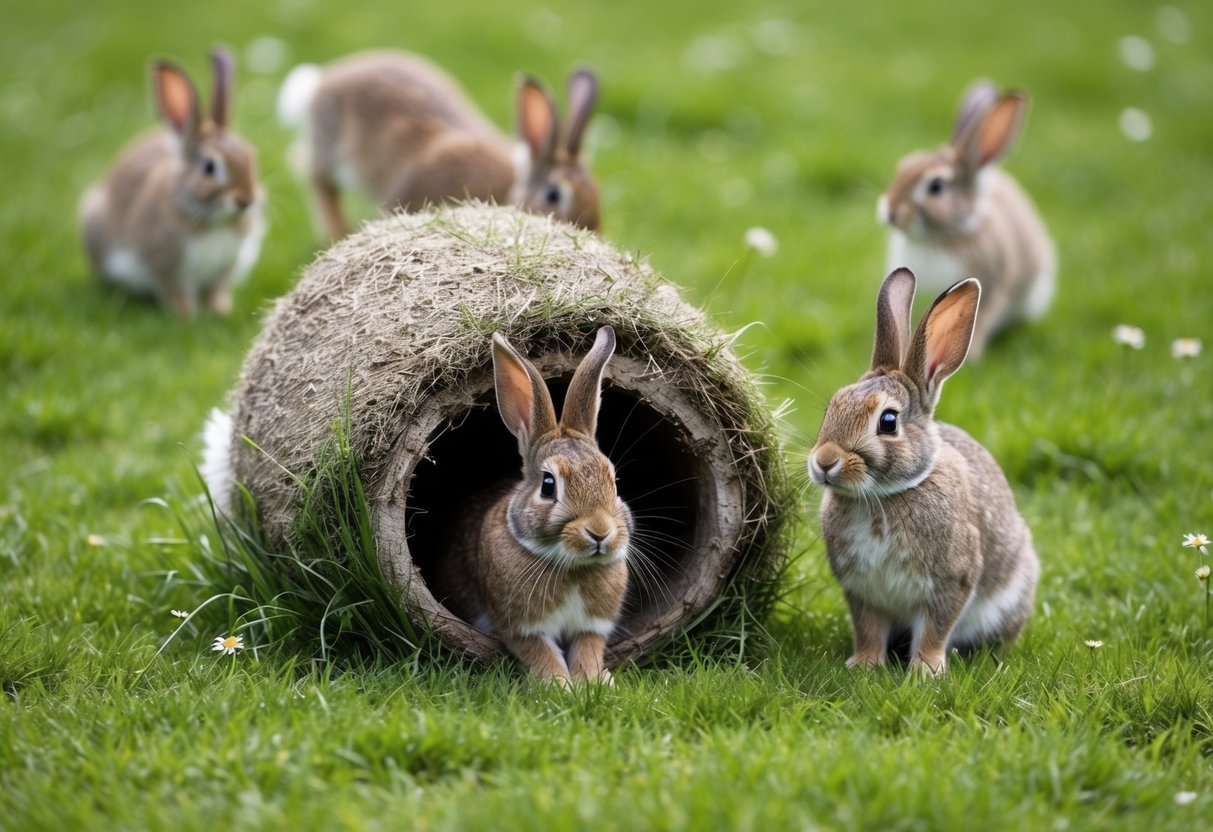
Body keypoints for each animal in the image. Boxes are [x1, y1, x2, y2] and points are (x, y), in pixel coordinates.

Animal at [80, 49, 265, 317]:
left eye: (251, 158)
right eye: (209, 167)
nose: (246, 200)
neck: (211, 222)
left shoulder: (226, 267)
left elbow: (216, 289)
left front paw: (219, 310)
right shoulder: (163, 263)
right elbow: (175, 290)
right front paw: (186, 315)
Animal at [276, 50, 601, 240]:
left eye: (596, 191)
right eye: (553, 195)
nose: (593, 232)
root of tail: (324, 80)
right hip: (328, 147)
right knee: (320, 184)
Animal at [434, 326, 632, 684]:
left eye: (614, 480)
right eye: (548, 485)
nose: (600, 532)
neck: (572, 566)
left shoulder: (591, 627)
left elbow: (588, 650)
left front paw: (593, 681)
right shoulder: (520, 628)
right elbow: (541, 654)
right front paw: (559, 686)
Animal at [807, 268, 1039, 675]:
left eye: (888, 422)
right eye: (831, 407)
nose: (824, 462)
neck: (883, 497)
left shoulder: (951, 583)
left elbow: (935, 628)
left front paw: (926, 671)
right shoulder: (861, 591)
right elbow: (867, 628)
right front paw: (864, 664)